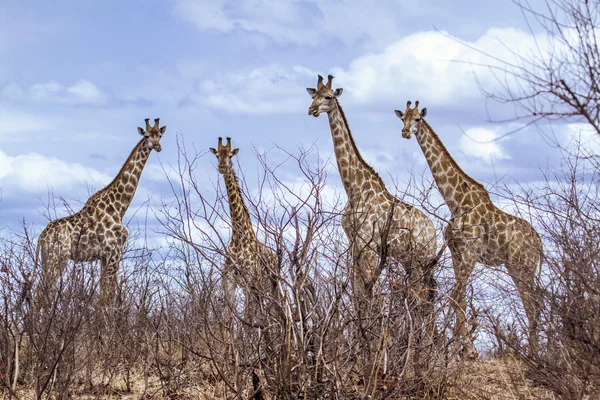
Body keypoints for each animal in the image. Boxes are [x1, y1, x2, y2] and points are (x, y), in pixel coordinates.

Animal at [34, 117, 166, 310]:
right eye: (147, 135)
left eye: (160, 135)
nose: (157, 146)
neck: (119, 207)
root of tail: (42, 237)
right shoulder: (114, 253)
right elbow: (107, 298)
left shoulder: (105, 257)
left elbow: (103, 296)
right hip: (57, 259)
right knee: (41, 295)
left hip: (47, 260)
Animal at [394, 101, 544, 356]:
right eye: (402, 117)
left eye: (418, 120)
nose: (404, 133)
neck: (456, 203)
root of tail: (540, 242)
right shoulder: (456, 253)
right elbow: (460, 297)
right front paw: (460, 349)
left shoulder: (469, 254)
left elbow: (456, 295)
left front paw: (463, 350)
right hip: (518, 268)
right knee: (532, 302)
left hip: (523, 266)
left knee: (533, 303)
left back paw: (537, 353)